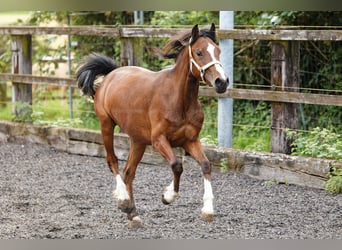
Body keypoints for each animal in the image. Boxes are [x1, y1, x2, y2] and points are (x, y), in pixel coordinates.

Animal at [76, 23, 228, 229]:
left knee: (129, 172)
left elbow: (205, 165)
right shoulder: (158, 141)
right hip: (106, 125)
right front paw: (168, 196)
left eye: (218, 51)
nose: (222, 82)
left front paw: (208, 210)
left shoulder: (190, 140)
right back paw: (123, 201)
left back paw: (133, 215)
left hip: (138, 140)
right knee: (113, 161)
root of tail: (111, 74)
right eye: (199, 52)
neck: (179, 100)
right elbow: (176, 165)